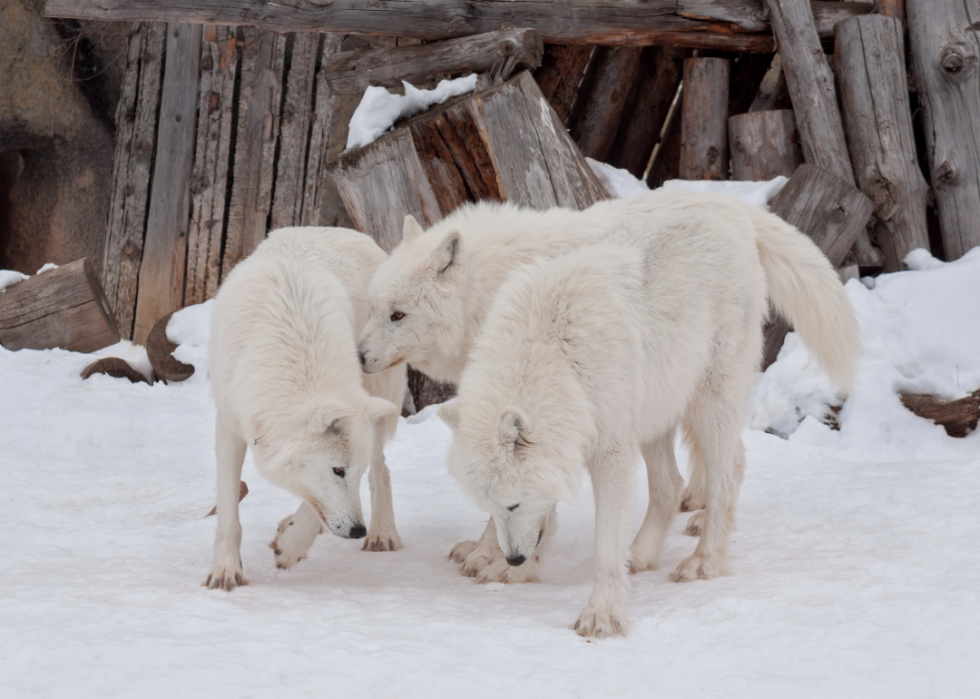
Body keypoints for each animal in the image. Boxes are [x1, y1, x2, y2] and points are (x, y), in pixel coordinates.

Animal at [207, 230, 406, 592]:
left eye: (350, 473)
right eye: (338, 471)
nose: (358, 531)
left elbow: (316, 507)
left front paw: (290, 546)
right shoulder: (229, 427)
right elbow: (229, 511)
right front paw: (226, 571)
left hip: (378, 395)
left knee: (381, 468)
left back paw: (383, 533)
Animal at [436, 194, 856, 636]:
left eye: (513, 505)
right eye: (491, 505)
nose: (513, 556)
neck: (557, 357)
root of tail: (733, 208)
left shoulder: (610, 453)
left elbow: (604, 547)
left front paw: (603, 613)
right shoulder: (569, 444)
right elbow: (548, 518)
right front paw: (519, 573)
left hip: (708, 403)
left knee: (725, 476)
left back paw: (704, 561)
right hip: (655, 413)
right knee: (672, 484)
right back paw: (640, 555)